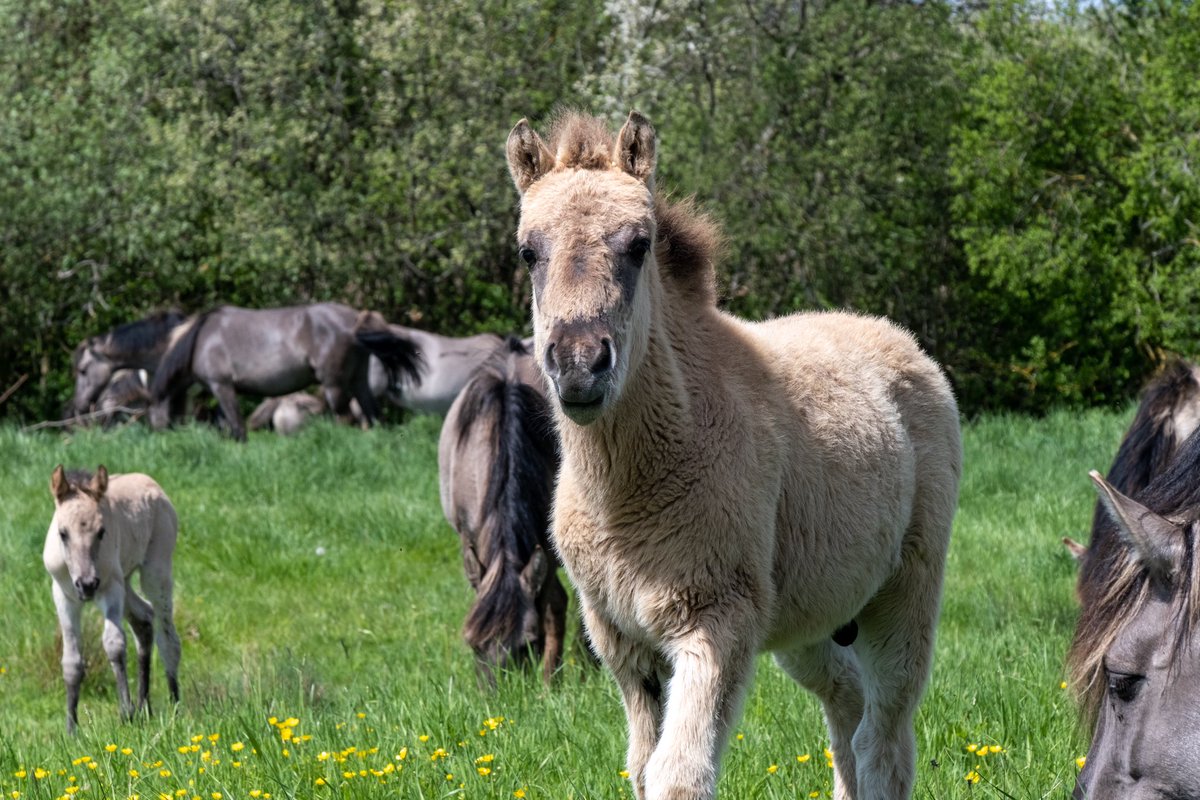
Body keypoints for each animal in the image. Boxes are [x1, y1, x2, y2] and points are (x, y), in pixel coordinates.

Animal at [43, 465, 182, 733]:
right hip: (125, 581)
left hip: (154, 572)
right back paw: (145, 707)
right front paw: (71, 729)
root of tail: (151, 483)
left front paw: (126, 714)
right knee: (144, 618)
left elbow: (114, 644)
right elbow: (71, 662)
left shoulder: (111, 589)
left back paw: (174, 707)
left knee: (168, 638)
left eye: (101, 532)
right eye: (63, 533)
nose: (87, 585)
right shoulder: (64, 596)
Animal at [148, 303, 421, 441]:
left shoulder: (221, 386)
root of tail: (354, 318)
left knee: (345, 417)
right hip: (358, 380)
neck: (201, 340)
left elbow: (237, 425)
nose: (161, 440)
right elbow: (227, 423)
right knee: (374, 415)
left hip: (333, 383)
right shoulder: (225, 390)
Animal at [437, 337, 567, 684]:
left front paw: (549, 683)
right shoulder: (468, 538)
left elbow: (553, 608)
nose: (500, 694)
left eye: (528, 644)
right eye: (473, 644)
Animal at [505, 110, 961, 800]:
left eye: (639, 244)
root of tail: (898, 339)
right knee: (847, 705)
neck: (624, 495)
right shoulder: (621, 641)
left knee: (885, 740)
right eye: (528, 252)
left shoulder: (715, 621)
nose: (581, 366)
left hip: (905, 592)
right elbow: (642, 767)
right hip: (810, 617)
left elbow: (679, 774)